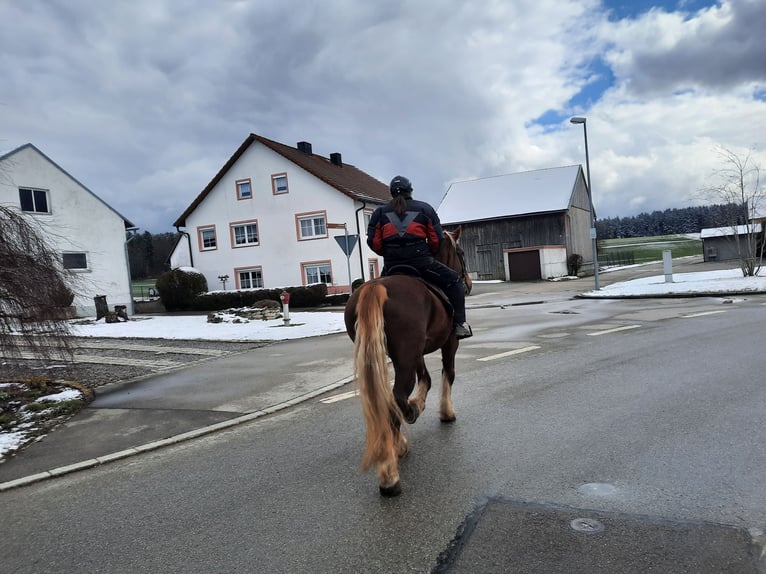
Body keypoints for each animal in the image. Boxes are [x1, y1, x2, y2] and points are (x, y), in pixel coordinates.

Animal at [346, 227, 468, 498]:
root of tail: (376, 288)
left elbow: (428, 379)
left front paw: (418, 404)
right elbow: (448, 374)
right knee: (396, 398)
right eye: (462, 253)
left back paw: (396, 443)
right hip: (406, 357)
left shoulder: (416, 353)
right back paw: (390, 475)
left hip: (394, 357)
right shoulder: (450, 342)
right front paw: (445, 412)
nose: (467, 282)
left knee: (387, 401)